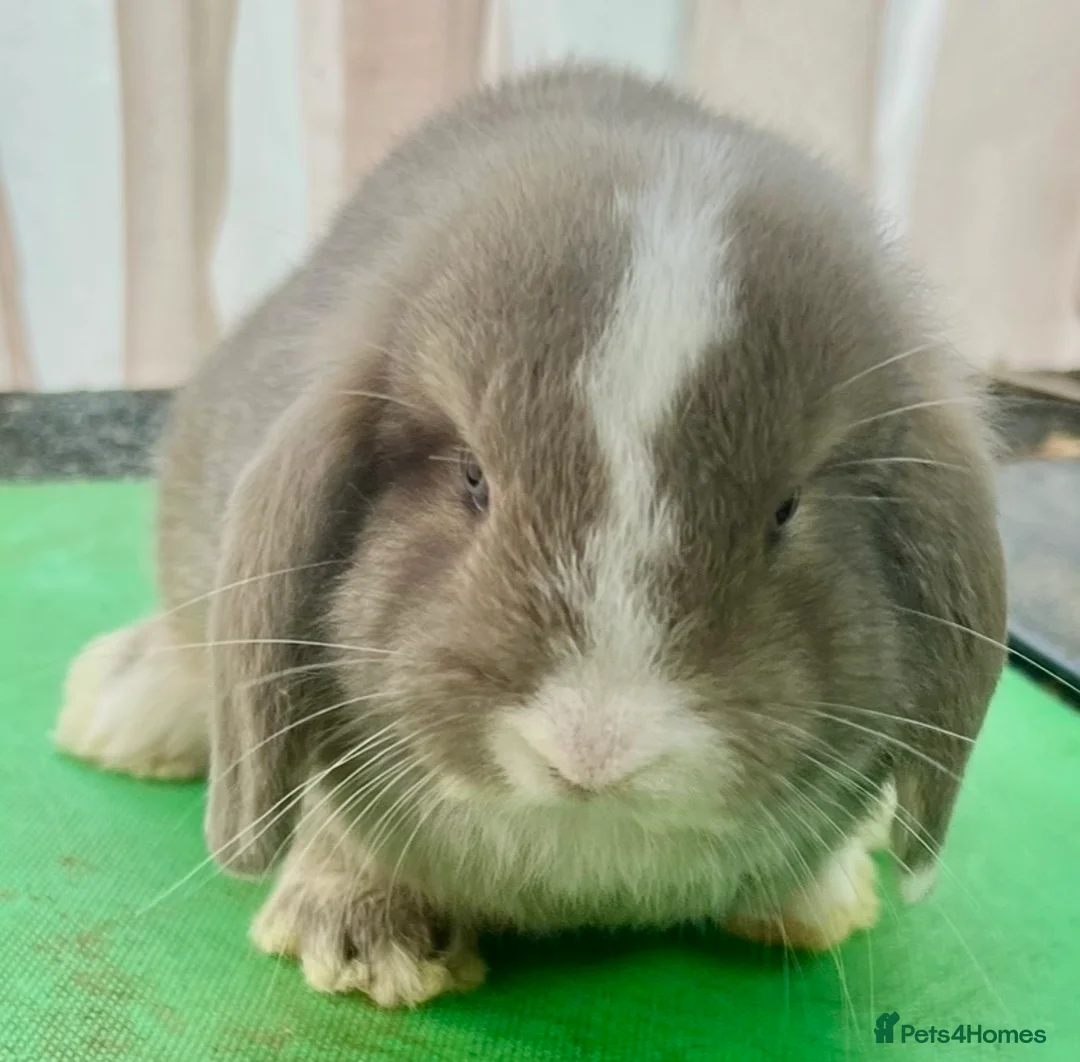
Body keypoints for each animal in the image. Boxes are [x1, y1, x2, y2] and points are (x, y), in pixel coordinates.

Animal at [54, 63, 1006, 1008]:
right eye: (473, 477)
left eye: (787, 509)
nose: (595, 753)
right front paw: (371, 946)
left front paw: (813, 904)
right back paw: (115, 707)